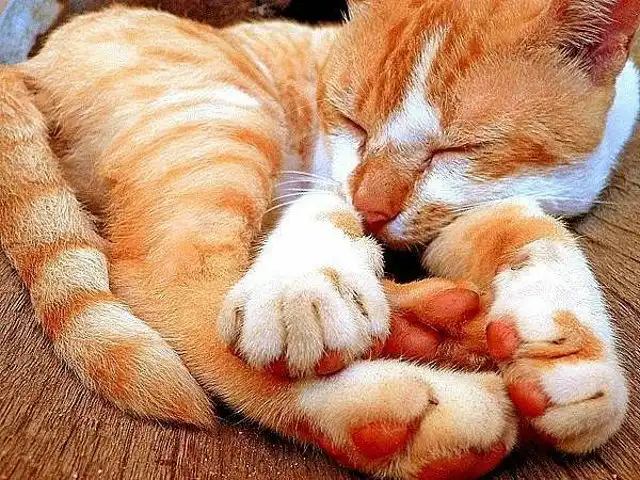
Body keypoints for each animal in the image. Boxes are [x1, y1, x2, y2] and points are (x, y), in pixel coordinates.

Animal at [0, 0, 638, 478]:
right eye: (351, 120)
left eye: (458, 149)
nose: (373, 207)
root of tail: (26, 63)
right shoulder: (321, 177)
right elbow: (320, 215)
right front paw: (303, 287)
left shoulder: (483, 209)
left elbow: (536, 235)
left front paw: (568, 354)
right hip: (219, 114)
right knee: (176, 287)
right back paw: (397, 408)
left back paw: (434, 322)